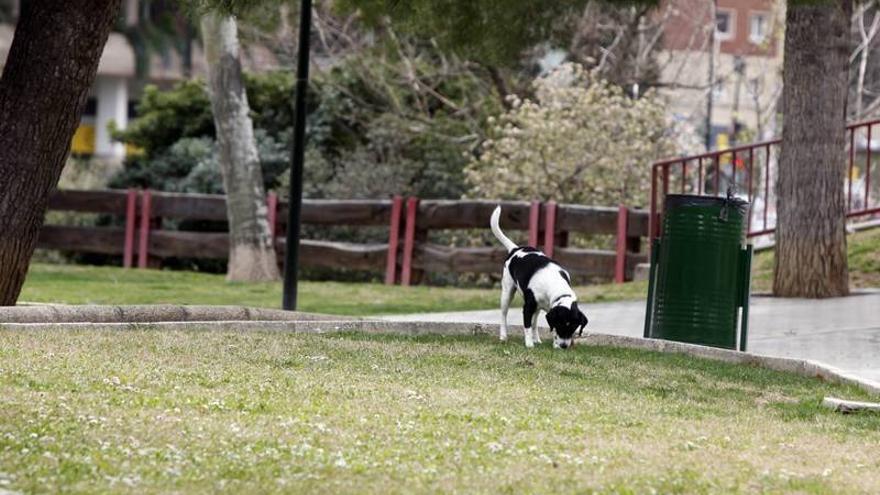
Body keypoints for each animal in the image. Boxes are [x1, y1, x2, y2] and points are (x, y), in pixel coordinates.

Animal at [492, 205, 588, 348]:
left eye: (573, 328)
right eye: (560, 325)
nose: (564, 346)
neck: (555, 283)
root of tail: (516, 249)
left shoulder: (548, 309)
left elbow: (538, 325)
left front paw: (553, 344)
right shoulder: (528, 307)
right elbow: (527, 326)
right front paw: (529, 344)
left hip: (537, 308)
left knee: (535, 322)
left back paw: (536, 338)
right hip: (507, 293)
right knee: (504, 315)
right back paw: (504, 336)